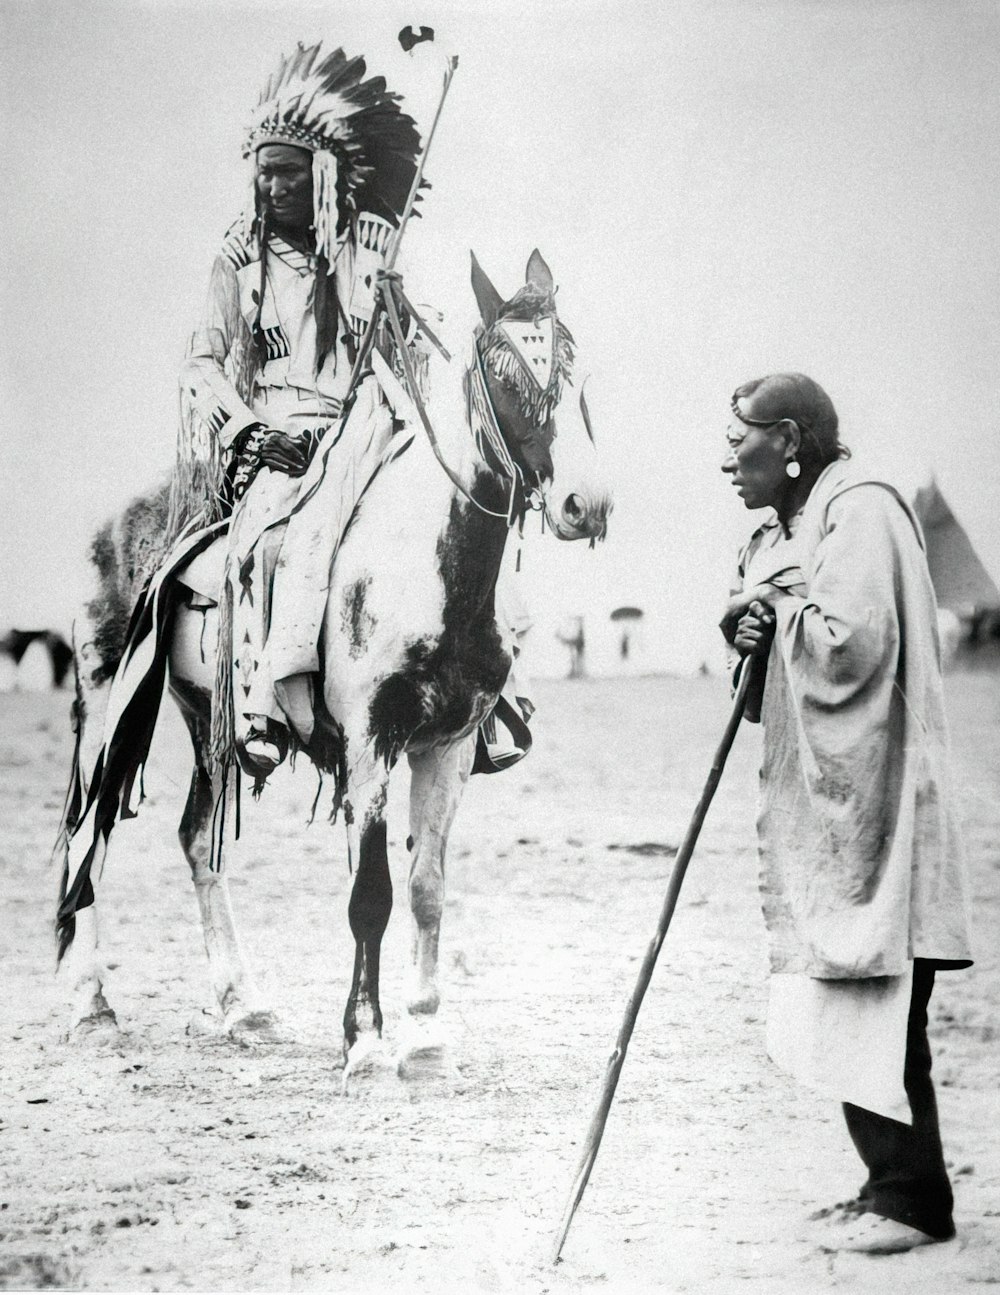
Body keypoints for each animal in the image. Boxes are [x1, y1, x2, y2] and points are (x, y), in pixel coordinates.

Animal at [60, 249, 616, 1072]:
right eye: (508, 371)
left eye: (579, 375)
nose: (587, 504)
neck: (429, 567)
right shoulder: (370, 744)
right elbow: (373, 897)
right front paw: (366, 1038)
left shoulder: (448, 748)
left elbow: (426, 888)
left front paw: (427, 1037)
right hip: (104, 703)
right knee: (83, 839)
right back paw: (92, 1005)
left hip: (206, 721)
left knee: (196, 840)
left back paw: (244, 1005)